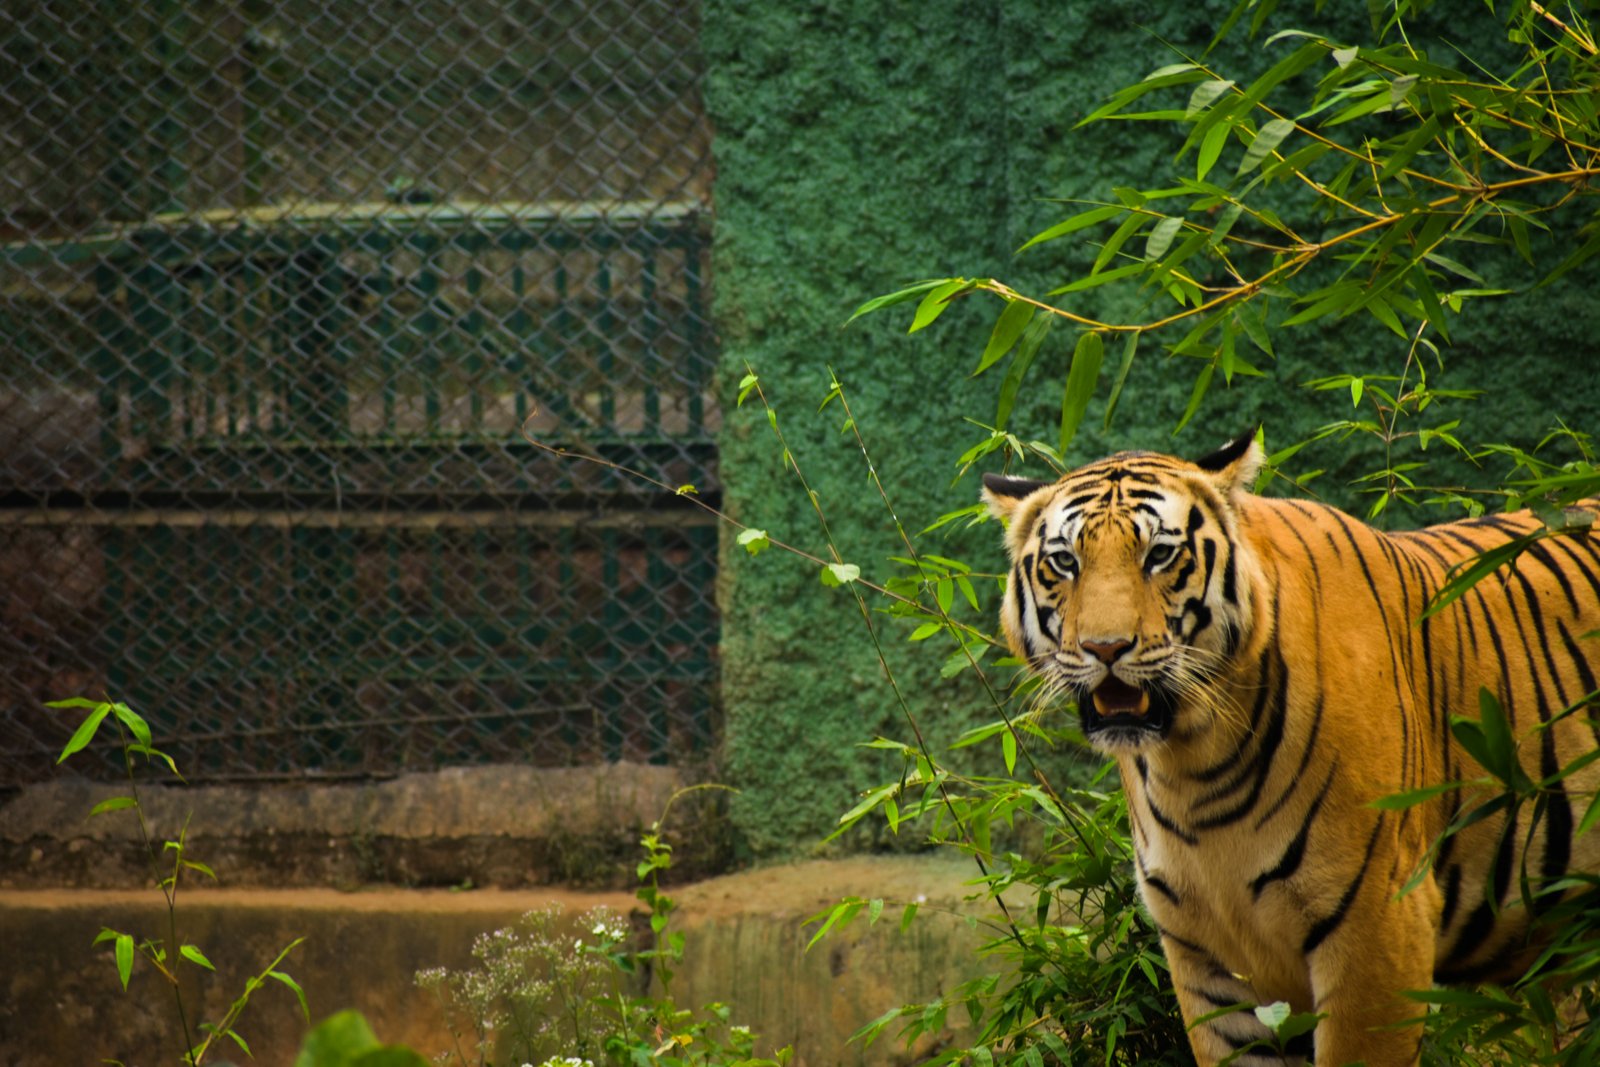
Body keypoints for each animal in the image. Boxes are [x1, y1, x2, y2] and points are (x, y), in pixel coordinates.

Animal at [979, 428, 1600, 1067]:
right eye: (1065, 562)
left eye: (1160, 556)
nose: (1105, 648)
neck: (1190, 767)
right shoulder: (1206, 959)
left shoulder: (1380, 929)